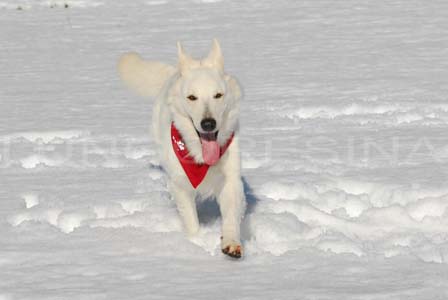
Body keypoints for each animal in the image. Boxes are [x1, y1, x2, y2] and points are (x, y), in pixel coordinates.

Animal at [117, 39, 247, 258]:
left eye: (218, 95)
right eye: (192, 97)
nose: (208, 124)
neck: (200, 157)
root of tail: (174, 72)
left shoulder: (230, 180)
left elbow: (230, 216)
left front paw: (230, 243)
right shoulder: (180, 185)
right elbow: (191, 222)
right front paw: (195, 243)